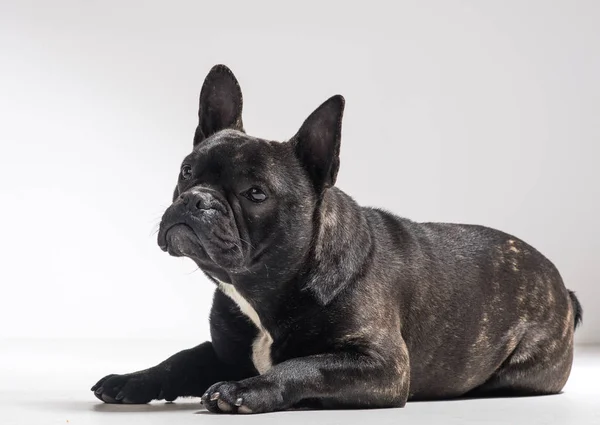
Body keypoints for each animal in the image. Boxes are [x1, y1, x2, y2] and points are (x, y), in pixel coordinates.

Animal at [92, 64, 580, 412]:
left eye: (256, 194)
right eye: (187, 172)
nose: (196, 199)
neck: (265, 289)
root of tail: (563, 288)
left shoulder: (380, 364)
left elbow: (304, 366)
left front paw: (244, 390)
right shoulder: (223, 350)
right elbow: (181, 358)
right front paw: (131, 379)